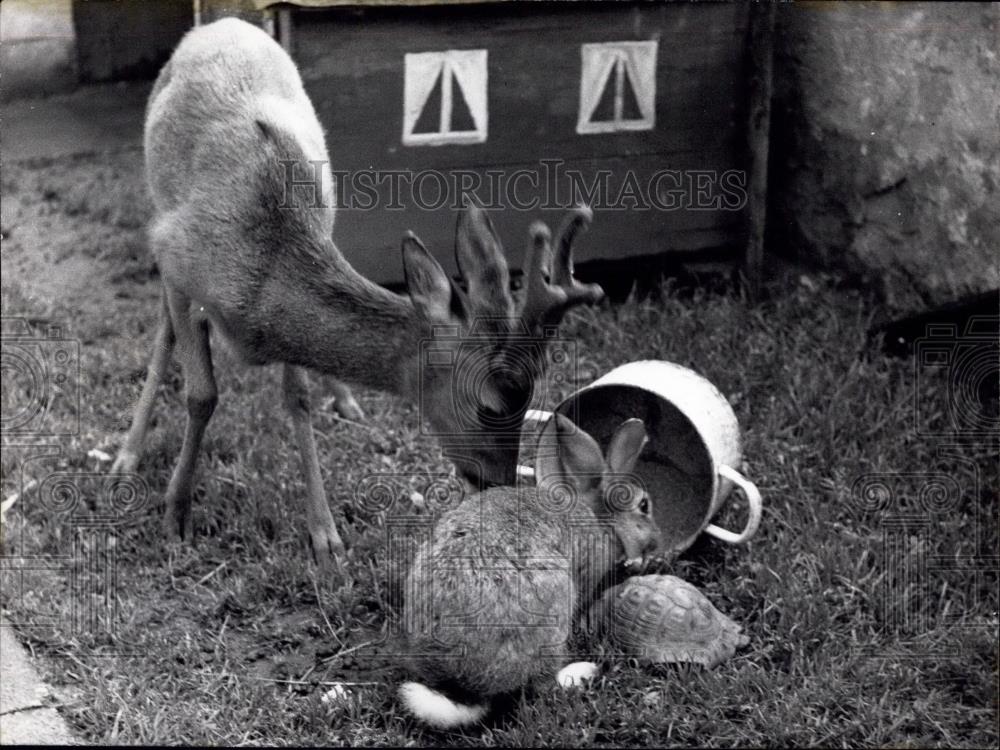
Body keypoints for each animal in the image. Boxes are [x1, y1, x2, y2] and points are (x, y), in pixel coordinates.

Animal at [113, 16, 604, 568]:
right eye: (492, 404)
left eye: (529, 402)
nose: (498, 482)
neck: (259, 282)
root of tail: (225, 21)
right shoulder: (176, 255)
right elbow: (199, 393)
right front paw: (175, 513)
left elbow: (297, 397)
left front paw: (324, 535)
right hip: (159, 207)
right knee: (163, 332)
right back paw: (127, 454)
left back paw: (345, 400)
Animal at [394, 414, 660, 732]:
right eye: (644, 505)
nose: (656, 542)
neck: (597, 517)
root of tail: (468, 687)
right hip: (554, 616)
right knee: (541, 686)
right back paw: (582, 671)